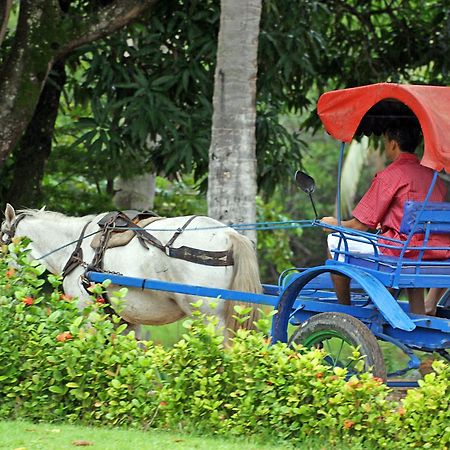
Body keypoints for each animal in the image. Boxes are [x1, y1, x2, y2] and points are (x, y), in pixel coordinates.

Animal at [1, 203, 262, 338]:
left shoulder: (86, 311)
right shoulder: (125, 318)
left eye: (2, 240)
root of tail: (230, 235)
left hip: (210, 319)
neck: (74, 246)